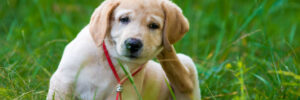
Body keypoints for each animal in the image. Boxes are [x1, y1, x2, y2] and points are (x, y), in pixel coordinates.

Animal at [47, 0, 200, 99]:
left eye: (154, 25)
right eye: (124, 19)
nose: (133, 44)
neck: (111, 59)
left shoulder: (124, 93)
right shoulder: (63, 82)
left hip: (186, 65)